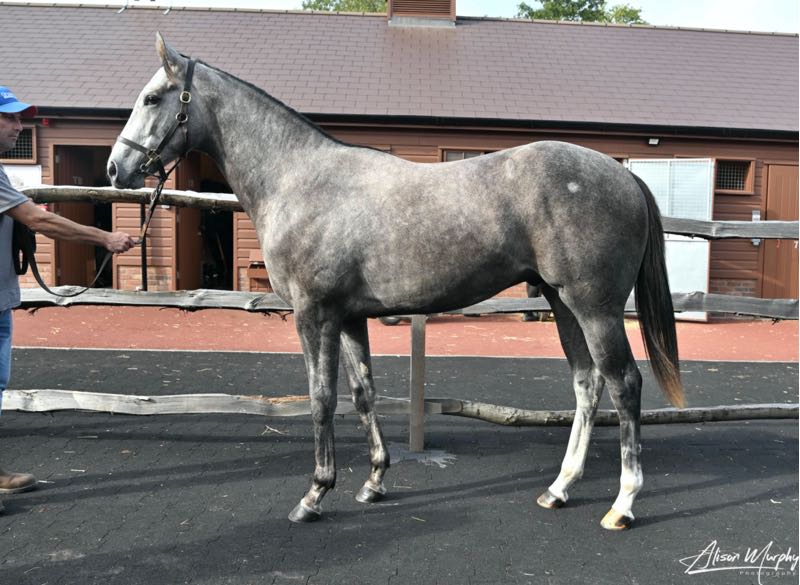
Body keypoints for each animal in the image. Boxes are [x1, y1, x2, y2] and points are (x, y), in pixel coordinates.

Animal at [107, 33, 684, 530]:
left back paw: (622, 504)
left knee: (623, 383)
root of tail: (624, 173)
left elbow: (321, 398)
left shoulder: (313, 315)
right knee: (587, 384)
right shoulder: (348, 318)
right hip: (563, 304)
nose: (116, 169)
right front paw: (374, 482)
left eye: (153, 98)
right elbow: (363, 394)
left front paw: (314, 495)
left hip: (595, 307)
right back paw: (559, 488)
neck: (299, 179)